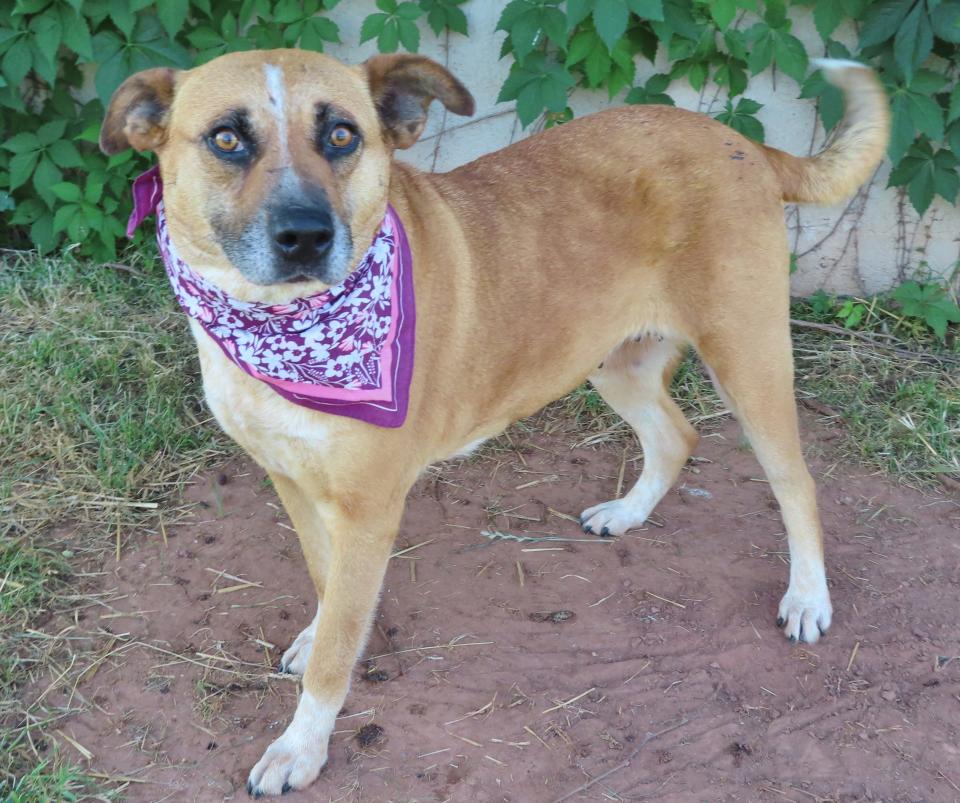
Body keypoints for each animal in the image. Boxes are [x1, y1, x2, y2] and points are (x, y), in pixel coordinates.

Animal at [101, 51, 888, 796]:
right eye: (227, 138)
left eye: (343, 135)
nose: (305, 236)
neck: (276, 325)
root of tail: (744, 141)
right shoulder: (293, 481)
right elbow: (328, 586)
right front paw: (328, 633)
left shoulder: (368, 508)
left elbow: (333, 653)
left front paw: (302, 745)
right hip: (612, 361)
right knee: (677, 436)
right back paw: (628, 513)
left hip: (748, 360)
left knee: (796, 483)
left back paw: (807, 598)